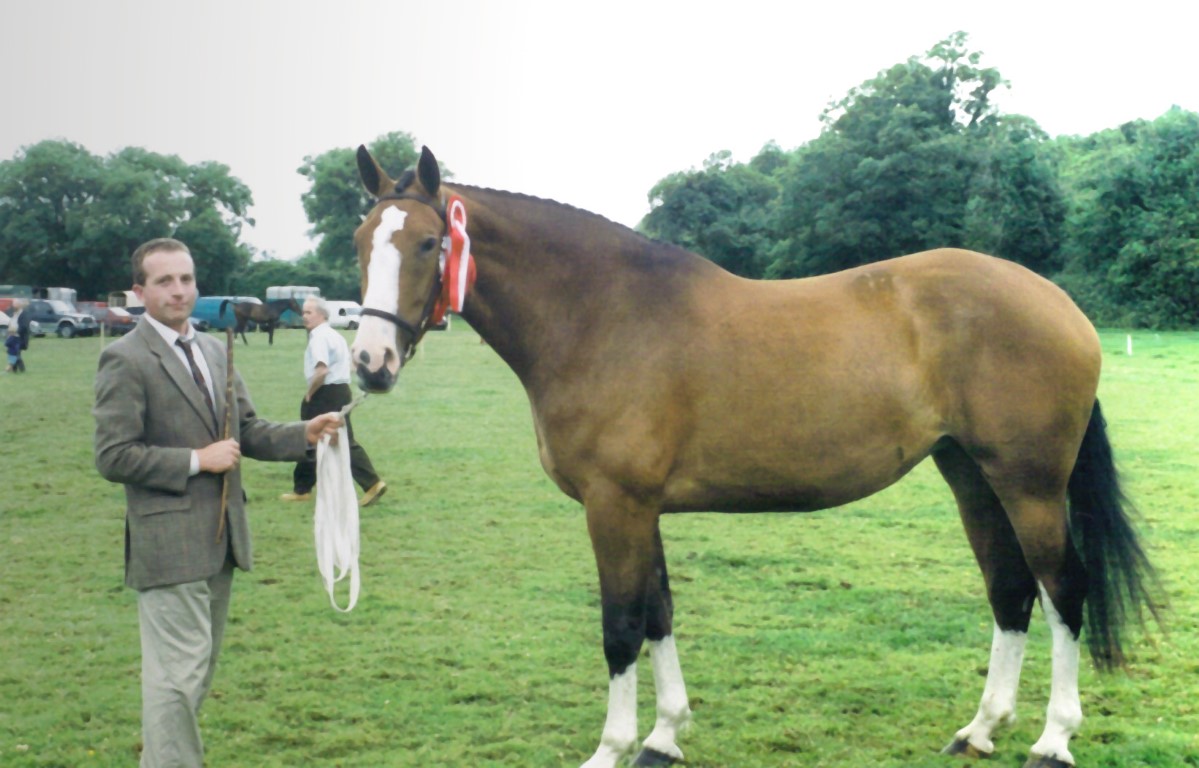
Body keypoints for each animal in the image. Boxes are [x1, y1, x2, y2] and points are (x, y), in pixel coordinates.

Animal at [348, 146, 1160, 768]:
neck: (602, 318)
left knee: (1064, 589)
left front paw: (611, 748)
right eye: (360, 242)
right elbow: (659, 612)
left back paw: (1053, 741)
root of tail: (1060, 304)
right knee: (1010, 590)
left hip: (1030, 485)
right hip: (971, 476)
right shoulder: (642, 509)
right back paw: (980, 729)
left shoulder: (615, 505)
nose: (369, 363)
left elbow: (620, 624)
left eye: (428, 244)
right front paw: (663, 738)